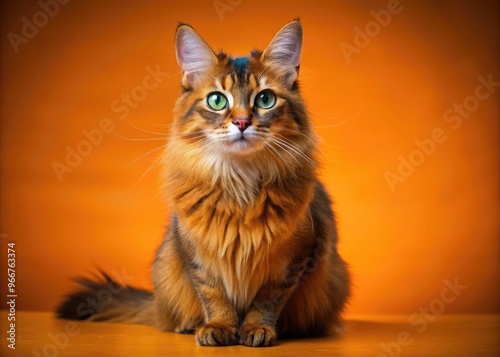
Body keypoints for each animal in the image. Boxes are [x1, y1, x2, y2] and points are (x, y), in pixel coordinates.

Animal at [56, 18, 350, 344]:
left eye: (265, 99)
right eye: (217, 100)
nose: (242, 122)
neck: (240, 182)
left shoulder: (296, 257)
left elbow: (267, 299)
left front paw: (257, 329)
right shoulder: (196, 254)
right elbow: (213, 293)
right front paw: (219, 327)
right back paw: (187, 325)